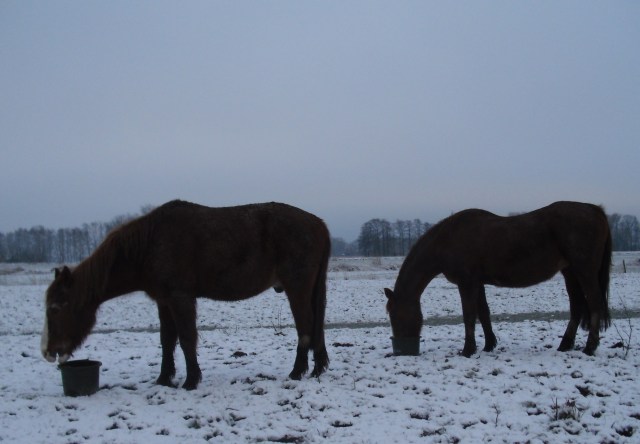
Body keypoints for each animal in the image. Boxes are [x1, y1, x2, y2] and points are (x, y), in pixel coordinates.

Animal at [42, 200, 330, 390]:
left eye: (55, 308)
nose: (48, 351)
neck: (149, 245)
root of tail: (319, 224)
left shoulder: (180, 298)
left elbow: (186, 338)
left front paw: (191, 380)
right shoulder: (164, 301)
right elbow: (167, 340)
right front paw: (164, 378)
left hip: (297, 288)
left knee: (305, 326)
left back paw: (297, 372)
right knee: (314, 326)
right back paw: (317, 367)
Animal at [385, 201, 612, 357]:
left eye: (394, 314)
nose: (402, 346)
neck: (448, 240)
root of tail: (594, 210)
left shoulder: (467, 283)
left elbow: (469, 315)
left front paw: (467, 350)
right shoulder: (478, 283)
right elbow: (484, 313)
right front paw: (488, 345)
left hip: (585, 272)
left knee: (594, 303)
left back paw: (589, 348)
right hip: (570, 273)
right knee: (577, 307)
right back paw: (565, 345)